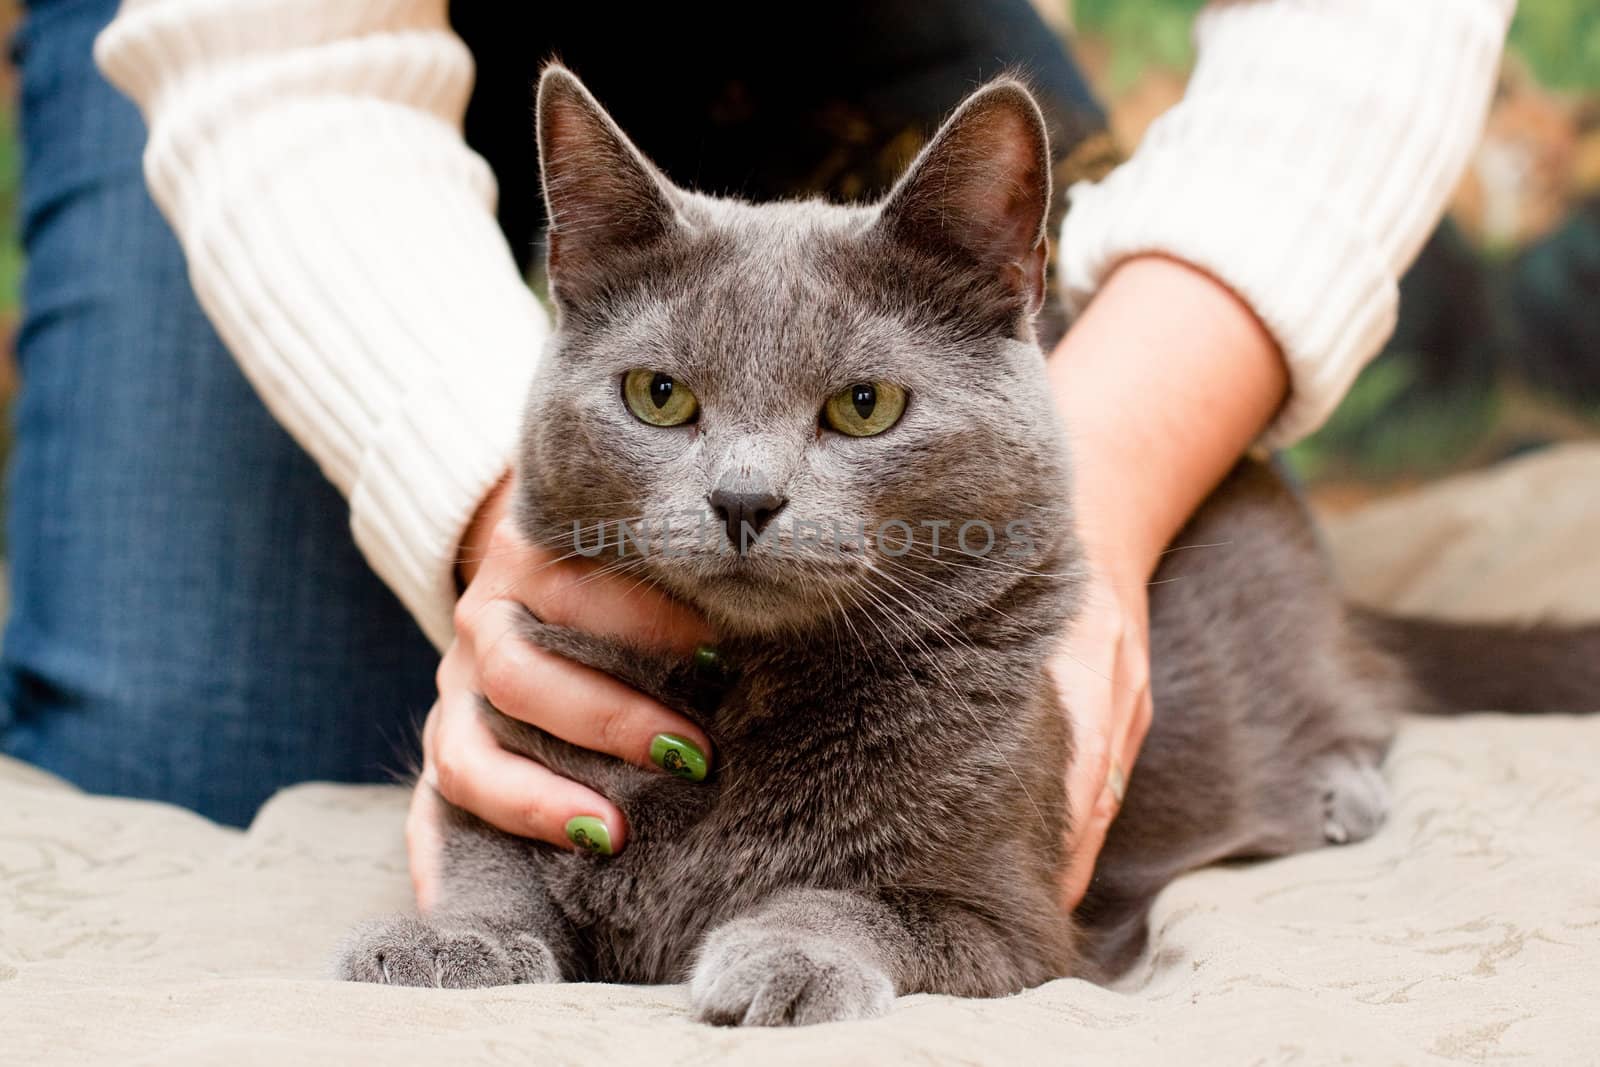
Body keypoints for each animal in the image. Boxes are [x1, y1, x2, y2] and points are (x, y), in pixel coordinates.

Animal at [334, 68, 1587, 1023]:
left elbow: (860, 900)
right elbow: (490, 859)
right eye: (658, 395)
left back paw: (1336, 787)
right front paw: (443, 940)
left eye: (865, 406)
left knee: (1361, 692)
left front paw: (781, 954)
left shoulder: (1012, 919)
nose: (742, 496)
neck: (741, 693)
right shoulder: (514, 750)